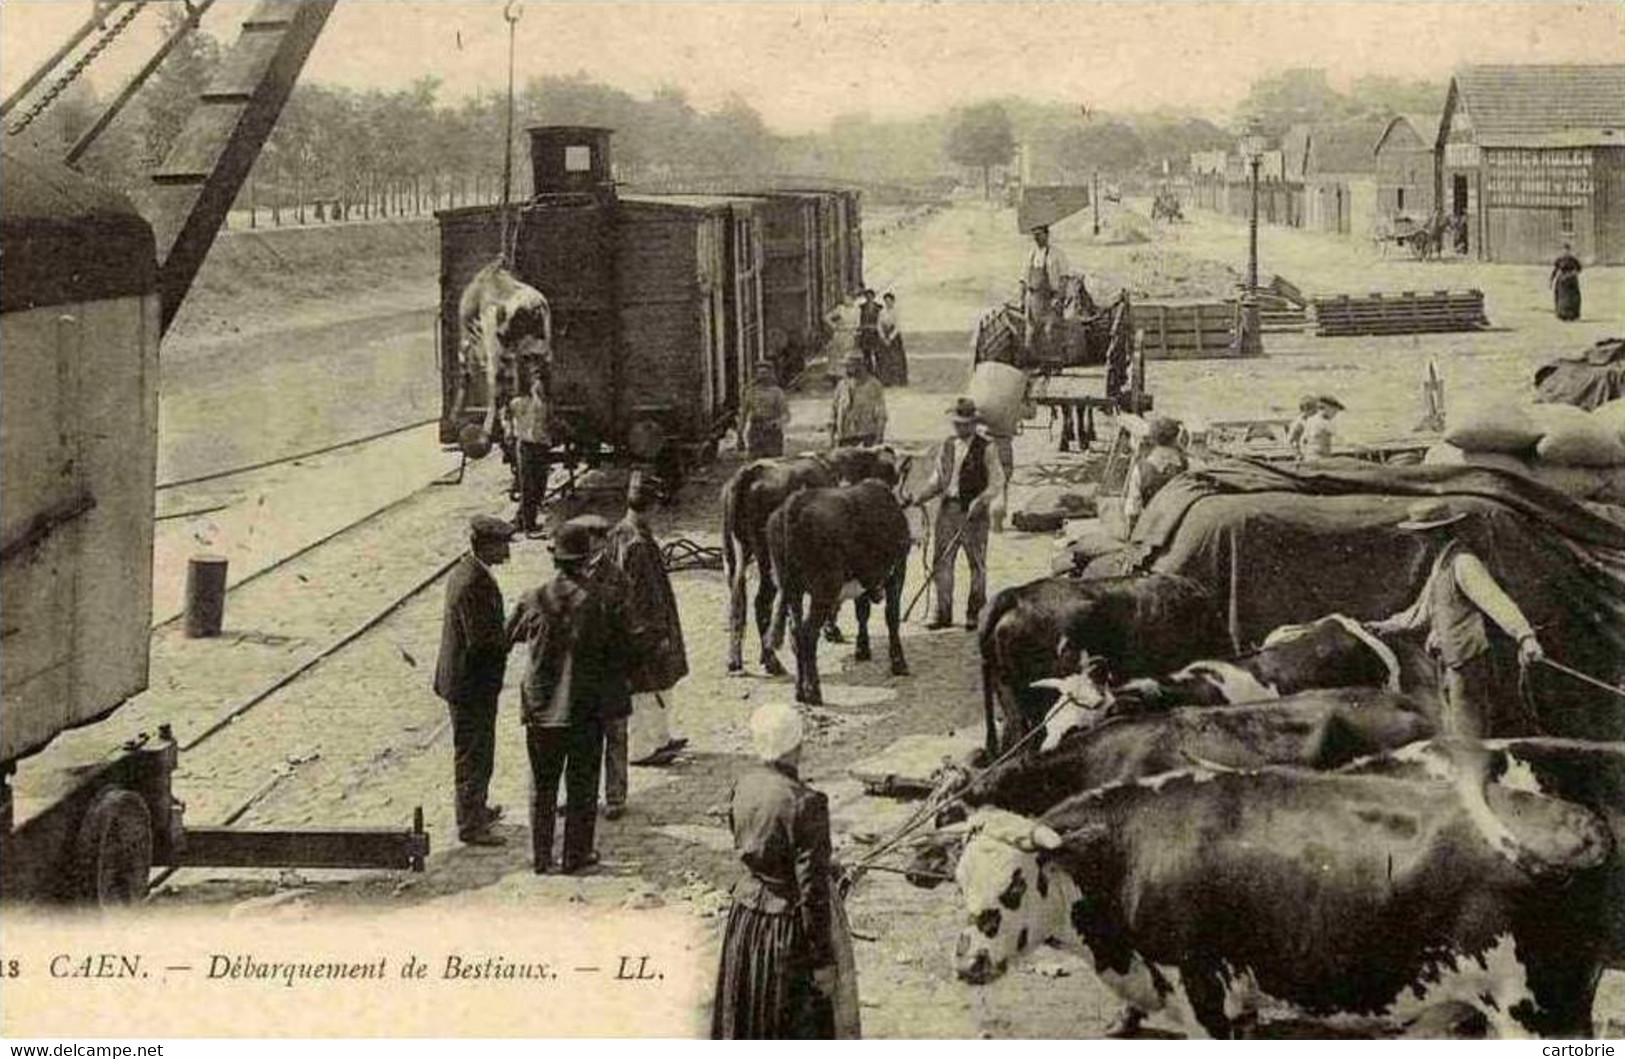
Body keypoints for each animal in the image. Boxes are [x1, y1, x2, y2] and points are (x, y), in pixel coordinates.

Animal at [721, 445, 903, 675]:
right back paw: (771, 660)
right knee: (762, 603)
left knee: (737, 604)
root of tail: (751, 471)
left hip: (735, 557)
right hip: (768, 564)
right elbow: (856, 606)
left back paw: (735, 659)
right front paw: (833, 631)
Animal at [763, 480, 910, 701]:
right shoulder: (897, 571)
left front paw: (862, 650)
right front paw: (899, 663)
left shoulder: (862, 583)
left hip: (791, 590)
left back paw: (800, 691)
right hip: (823, 590)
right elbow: (891, 616)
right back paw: (813, 691)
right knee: (808, 633)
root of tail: (793, 504)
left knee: (796, 632)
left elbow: (862, 613)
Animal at [949, 766, 1605, 1039]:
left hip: (1529, 1011)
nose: (967, 962)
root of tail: (1580, 822)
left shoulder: (1203, 994)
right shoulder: (1241, 1005)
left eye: (1013, 883)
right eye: (959, 881)